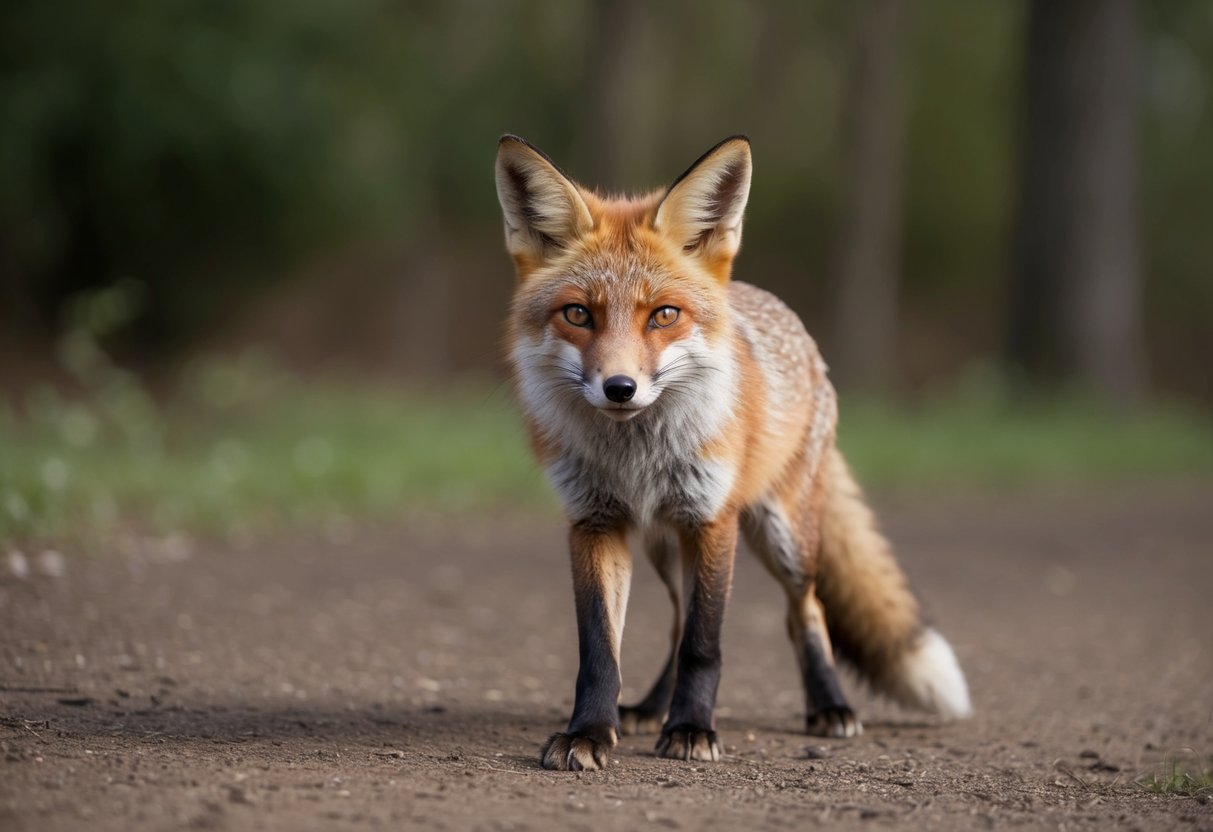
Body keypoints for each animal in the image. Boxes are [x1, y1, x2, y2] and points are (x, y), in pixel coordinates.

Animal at [494, 134, 972, 771]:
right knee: (675, 623)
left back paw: (830, 707)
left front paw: (692, 729)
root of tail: (769, 304)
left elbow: (705, 644)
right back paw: (648, 708)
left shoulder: (710, 519)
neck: (636, 458)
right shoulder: (593, 522)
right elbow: (601, 650)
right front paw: (590, 733)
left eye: (664, 315)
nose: (620, 388)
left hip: (783, 535)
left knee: (805, 612)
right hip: (663, 548)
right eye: (577, 314)